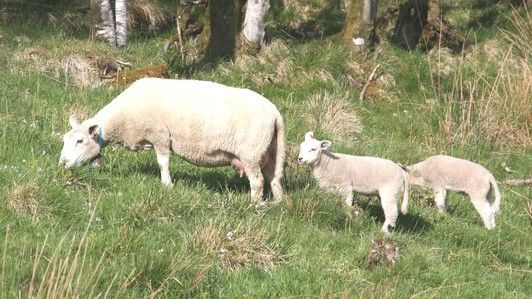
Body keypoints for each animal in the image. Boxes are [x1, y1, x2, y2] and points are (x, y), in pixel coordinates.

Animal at [58, 77, 286, 205]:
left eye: (79, 141)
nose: (62, 164)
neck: (123, 119)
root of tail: (275, 114)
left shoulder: (159, 135)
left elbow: (162, 162)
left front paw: (167, 184)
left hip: (251, 152)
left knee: (257, 181)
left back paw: (254, 205)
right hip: (270, 150)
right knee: (274, 178)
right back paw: (278, 203)